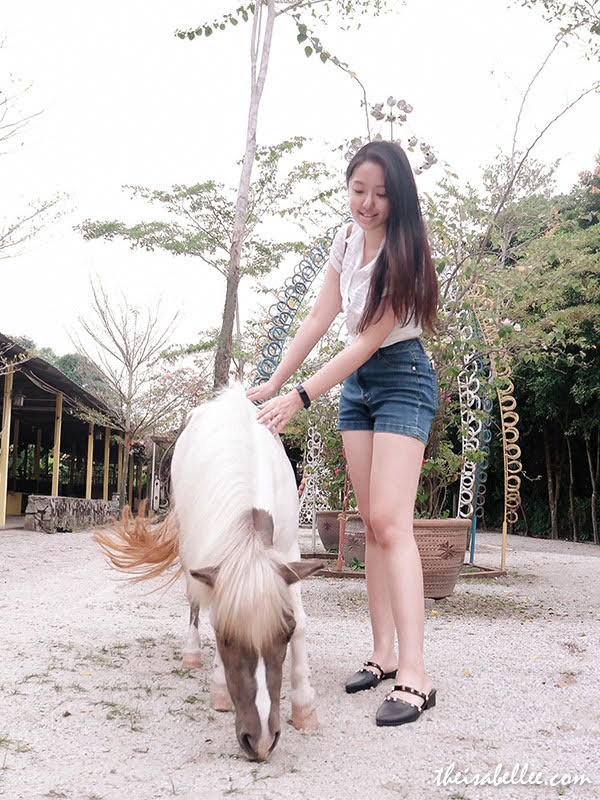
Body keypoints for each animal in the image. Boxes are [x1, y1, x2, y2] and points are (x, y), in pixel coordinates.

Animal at [96, 386, 322, 764]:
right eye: (225, 638)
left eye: (285, 634)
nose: (261, 742)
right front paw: (219, 689)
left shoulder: (288, 553)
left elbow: (303, 621)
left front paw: (304, 706)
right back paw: (192, 654)